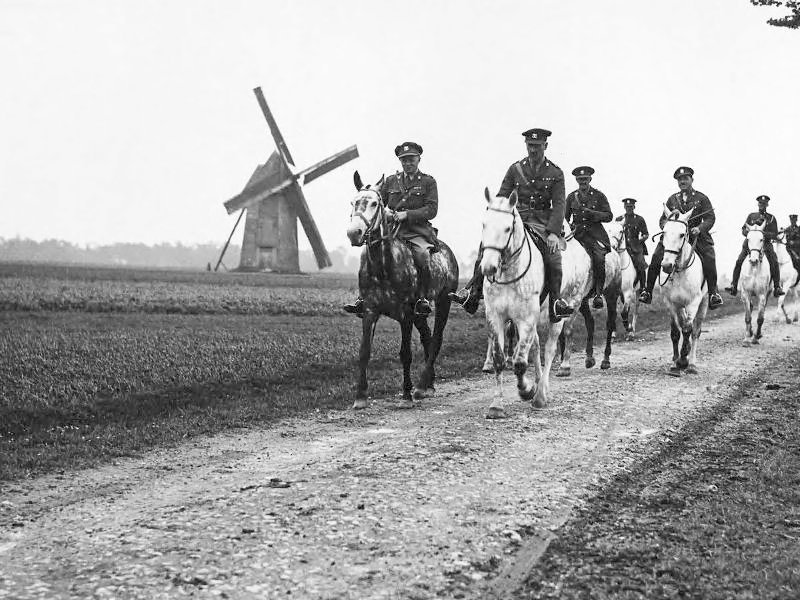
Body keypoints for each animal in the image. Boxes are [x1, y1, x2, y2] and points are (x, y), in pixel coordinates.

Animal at [344, 171, 456, 410]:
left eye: (375, 203)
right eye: (353, 202)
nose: (354, 233)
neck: (383, 266)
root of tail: (447, 251)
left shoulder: (405, 314)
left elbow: (405, 353)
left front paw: (406, 394)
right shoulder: (370, 311)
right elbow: (364, 352)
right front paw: (360, 396)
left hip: (444, 302)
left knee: (436, 340)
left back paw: (421, 386)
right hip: (419, 314)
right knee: (427, 337)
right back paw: (428, 385)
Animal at [482, 189, 564, 418]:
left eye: (507, 228)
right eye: (484, 224)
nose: (488, 267)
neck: (510, 274)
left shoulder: (526, 319)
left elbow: (519, 363)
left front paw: (526, 390)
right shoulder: (496, 317)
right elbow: (500, 360)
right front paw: (496, 405)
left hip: (558, 316)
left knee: (549, 349)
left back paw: (541, 394)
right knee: (535, 347)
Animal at [660, 206, 708, 376]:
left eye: (682, 234)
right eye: (664, 233)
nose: (666, 266)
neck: (680, 271)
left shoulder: (693, 303)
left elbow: (688, 329)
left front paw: (683, 360)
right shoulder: (670, 303)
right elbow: (675, 331)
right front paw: (676, 363)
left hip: (703, 304)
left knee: (695, 331)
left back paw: (691, 363)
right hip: (680, 307)